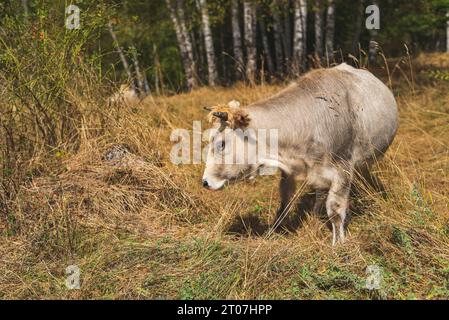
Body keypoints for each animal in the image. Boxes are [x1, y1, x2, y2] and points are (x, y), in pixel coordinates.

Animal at [201, 63, 398, 245]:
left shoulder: (343, 169)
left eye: (221, 143)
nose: (205, 182)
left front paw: (338, 244)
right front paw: (275, 230)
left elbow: (335, 209)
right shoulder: (288, 170)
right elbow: (285, 201)